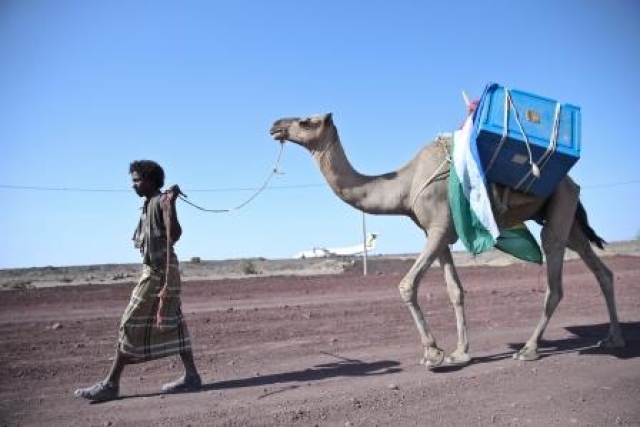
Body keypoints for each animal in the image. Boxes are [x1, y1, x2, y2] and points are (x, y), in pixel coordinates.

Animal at [270, 113, 624, 368]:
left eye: (306, 121)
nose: (275, 126)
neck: (404, 184)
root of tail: (571, 182)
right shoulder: (437, 233)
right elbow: (455, 290)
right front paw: (461, 352)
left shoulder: (439, 226)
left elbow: (407, 285)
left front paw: (433, 353)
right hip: (564, 212)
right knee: (599, 268)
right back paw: (613, 339)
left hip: (559, 205)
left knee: (554, 271)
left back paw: (529, 348)